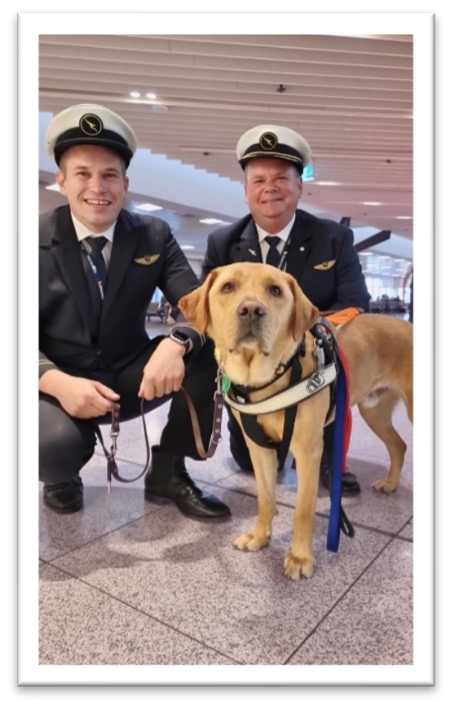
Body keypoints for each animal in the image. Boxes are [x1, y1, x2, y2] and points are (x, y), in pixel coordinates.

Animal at [178, 262, 414, 580]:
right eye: (227, 287)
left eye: (275, 290)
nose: (251, 309)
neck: (266, 379)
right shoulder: (259, 449)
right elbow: (265, 499)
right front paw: (259, 536)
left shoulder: (307, 451)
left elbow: (303, 511)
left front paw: (300, 558)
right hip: (373, 410)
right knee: (398, 445)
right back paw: (390, 483)